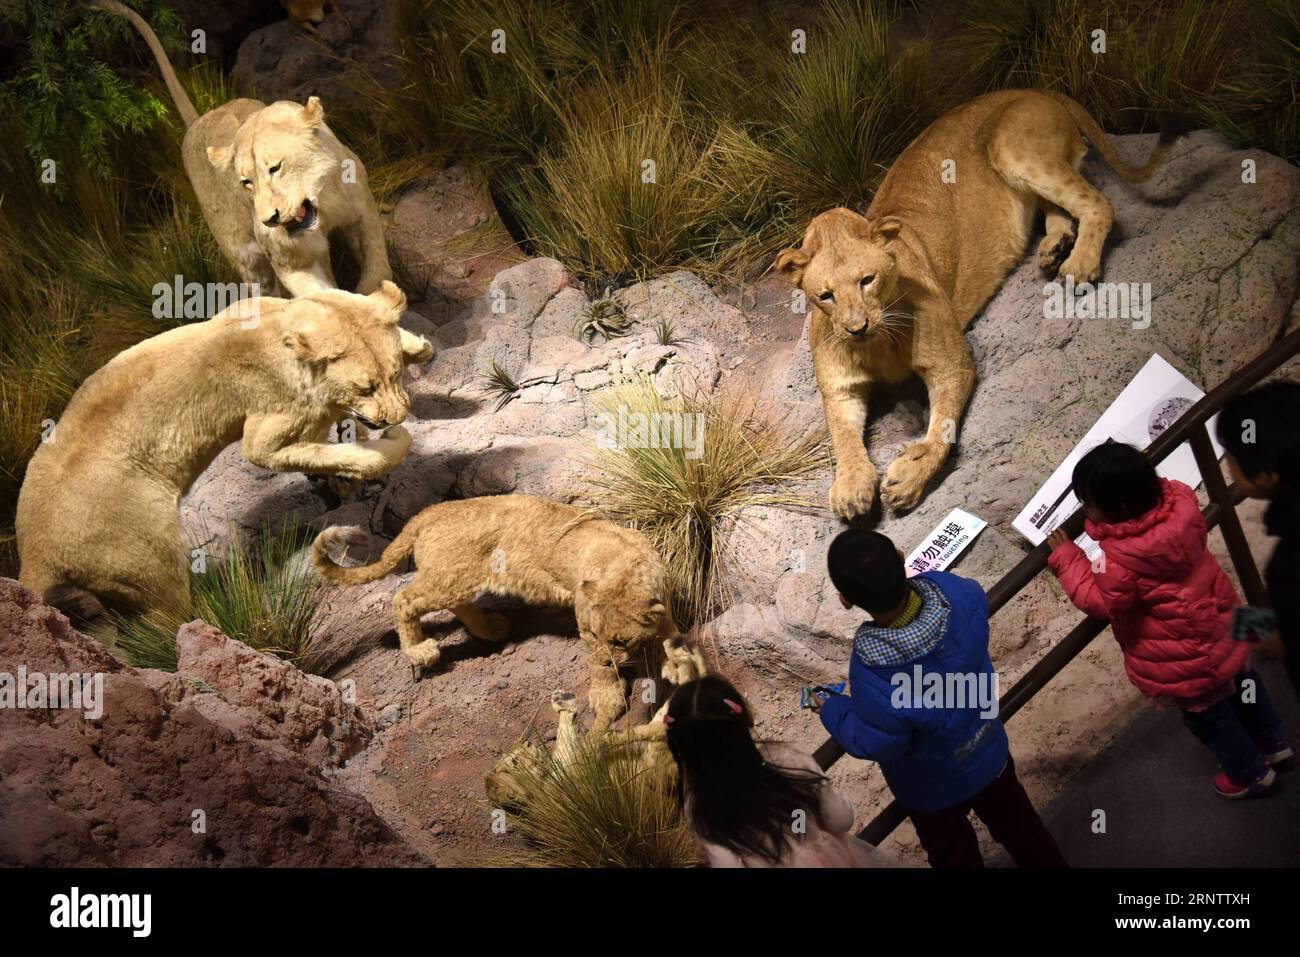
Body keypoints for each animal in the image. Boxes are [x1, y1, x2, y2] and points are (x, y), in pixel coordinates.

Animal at [16, 280, 426, 616]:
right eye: (366, 387)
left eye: (394, 374)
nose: (396, 415)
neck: (277, 328)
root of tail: (32, 558)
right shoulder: (263, 438)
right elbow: (346, 452)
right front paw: (389, 444)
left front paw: (416, 345)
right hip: (151, 559)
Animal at [89, 0, 390, 297]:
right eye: (246, 182)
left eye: (276, 168)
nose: (270, 220)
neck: (324, 204)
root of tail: (199, 119)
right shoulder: (291, 259)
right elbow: (320, 294)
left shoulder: (361, 209)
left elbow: (376, 261)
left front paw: (376, 291)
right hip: (244, 255)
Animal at [310, 496, 707, 728]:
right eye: (592, 635)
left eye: (621, 640)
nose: (610, 658)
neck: (625, 566)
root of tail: (428, 511)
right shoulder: (586, 619)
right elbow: (601, 670)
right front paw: (607, 694)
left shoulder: (663, 605)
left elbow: (673, 635)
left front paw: (676, 665)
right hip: (449, 578)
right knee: (405, 599)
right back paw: (421, 650)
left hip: (458, 579)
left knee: (454, 603)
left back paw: (491, 629)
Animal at [774, 89, 1185, 520]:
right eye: (825, 296)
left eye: (866, 280)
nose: (856, 328)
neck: (879, 340)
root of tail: (1035, 89)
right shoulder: (840, 387)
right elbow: (843, 437)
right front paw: (852, 487)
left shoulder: (950, 362)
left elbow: (943, 427)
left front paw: (910, 476)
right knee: (1060, 209)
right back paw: (1054, 248)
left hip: (1013, 147)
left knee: (1097, 203)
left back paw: (1078, 266)